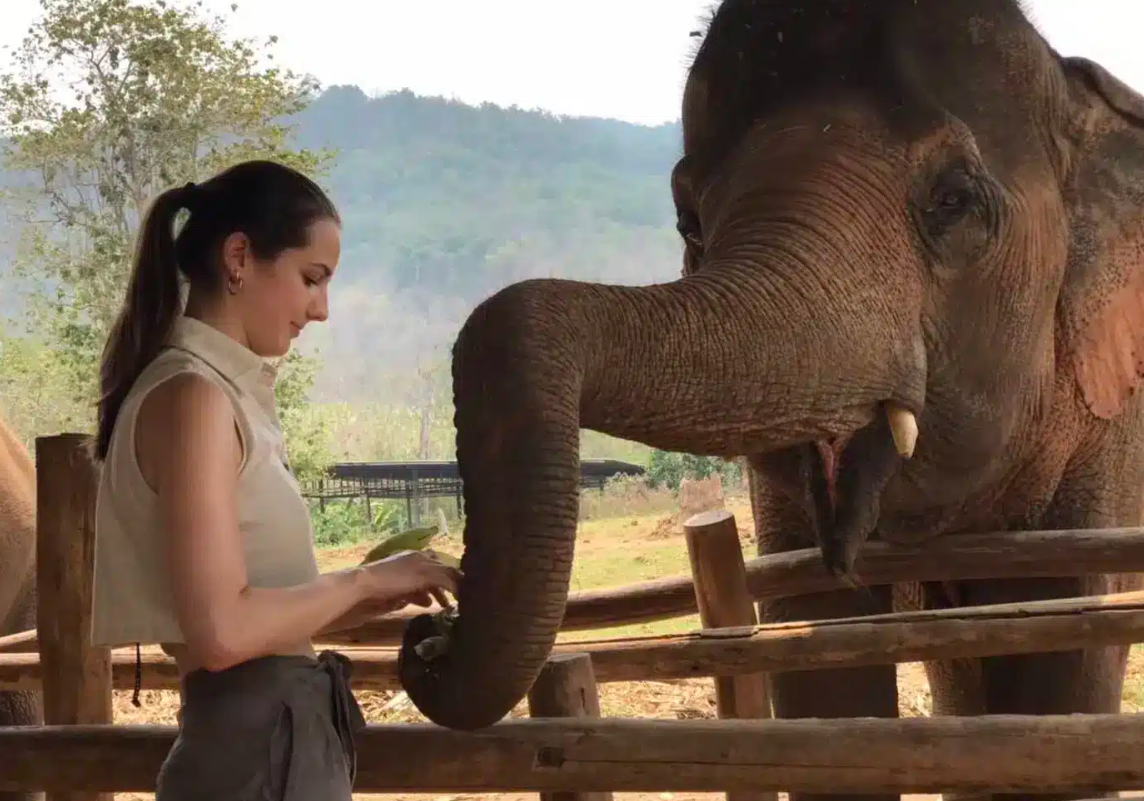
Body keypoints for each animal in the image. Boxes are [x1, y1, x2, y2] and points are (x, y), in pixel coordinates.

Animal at [397, 2, 1144, 800]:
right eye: (688, 223)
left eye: (954, 200)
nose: (430, 632)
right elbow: (819, 664)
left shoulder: (1108, 437)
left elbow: (1062, 657)